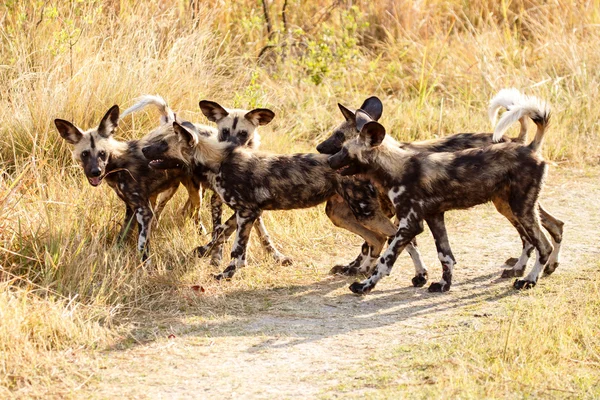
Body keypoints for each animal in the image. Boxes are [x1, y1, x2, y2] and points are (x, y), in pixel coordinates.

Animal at [318, 89, 564, 286]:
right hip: (512, 205)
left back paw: (526, 277)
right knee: (553, 227)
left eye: (340, 141)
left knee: (538, 242)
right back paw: (535, 268)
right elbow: (440, 254)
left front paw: (367, 281)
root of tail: (525, 144)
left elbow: (385, 252)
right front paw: (438, 282)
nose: (323, 154)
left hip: (518, 208)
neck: (395, 163)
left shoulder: (399, 221)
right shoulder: (425, 216)